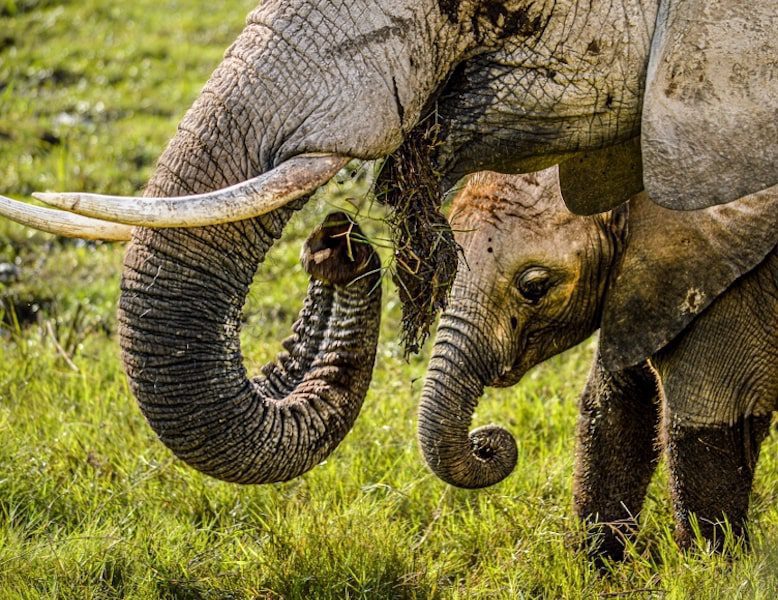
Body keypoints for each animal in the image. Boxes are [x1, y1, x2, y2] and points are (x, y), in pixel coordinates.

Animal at [418, 166, 777, 558]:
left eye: (535, 287)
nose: (484, 442)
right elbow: (615, 408)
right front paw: (599, 562)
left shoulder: (732, 284)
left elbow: (703, 423)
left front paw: (712, 566)